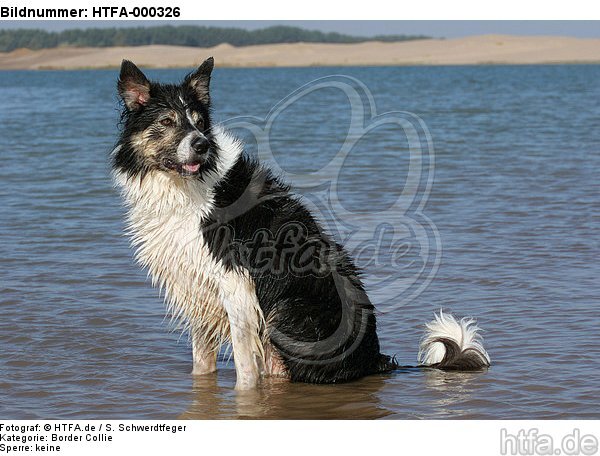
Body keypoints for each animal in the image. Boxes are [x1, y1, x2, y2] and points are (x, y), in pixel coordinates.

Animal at [111, 58, 488, 388]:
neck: (186, 184)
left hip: (286, 311)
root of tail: (374, 360)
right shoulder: (196, 284)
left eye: (198, 121)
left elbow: (245, 367)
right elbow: (202, 362)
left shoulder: (236, 284)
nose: (201, 145)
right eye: (167, 121)